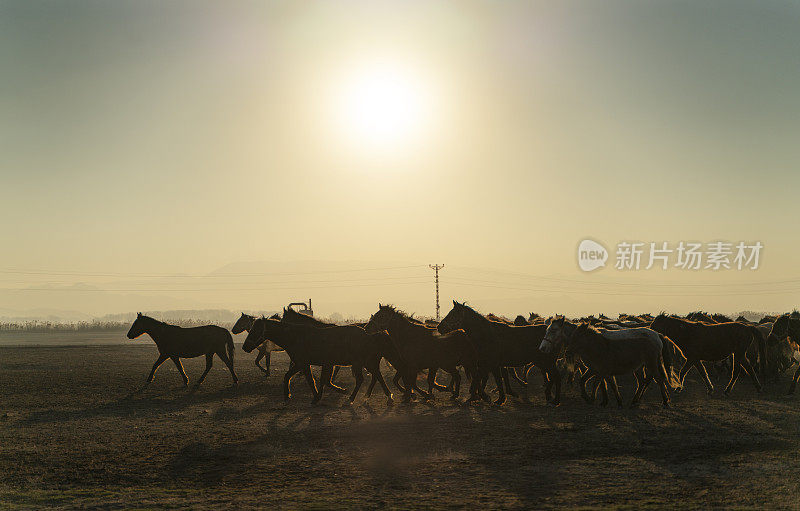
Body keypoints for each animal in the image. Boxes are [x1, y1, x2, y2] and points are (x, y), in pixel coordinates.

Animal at [244, 318, 394, 406]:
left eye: (255, 330)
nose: (245, 347)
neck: (294, 337)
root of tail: (371, 335)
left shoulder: (303, 364)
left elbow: (312, 381)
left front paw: (315, 397)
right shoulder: (306, 364)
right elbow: (292, 377)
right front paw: (287, 395)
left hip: (360, 363)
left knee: (364, 379)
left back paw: (353, 398)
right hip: (366, 363)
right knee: (377, 376)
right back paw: (384, 397)